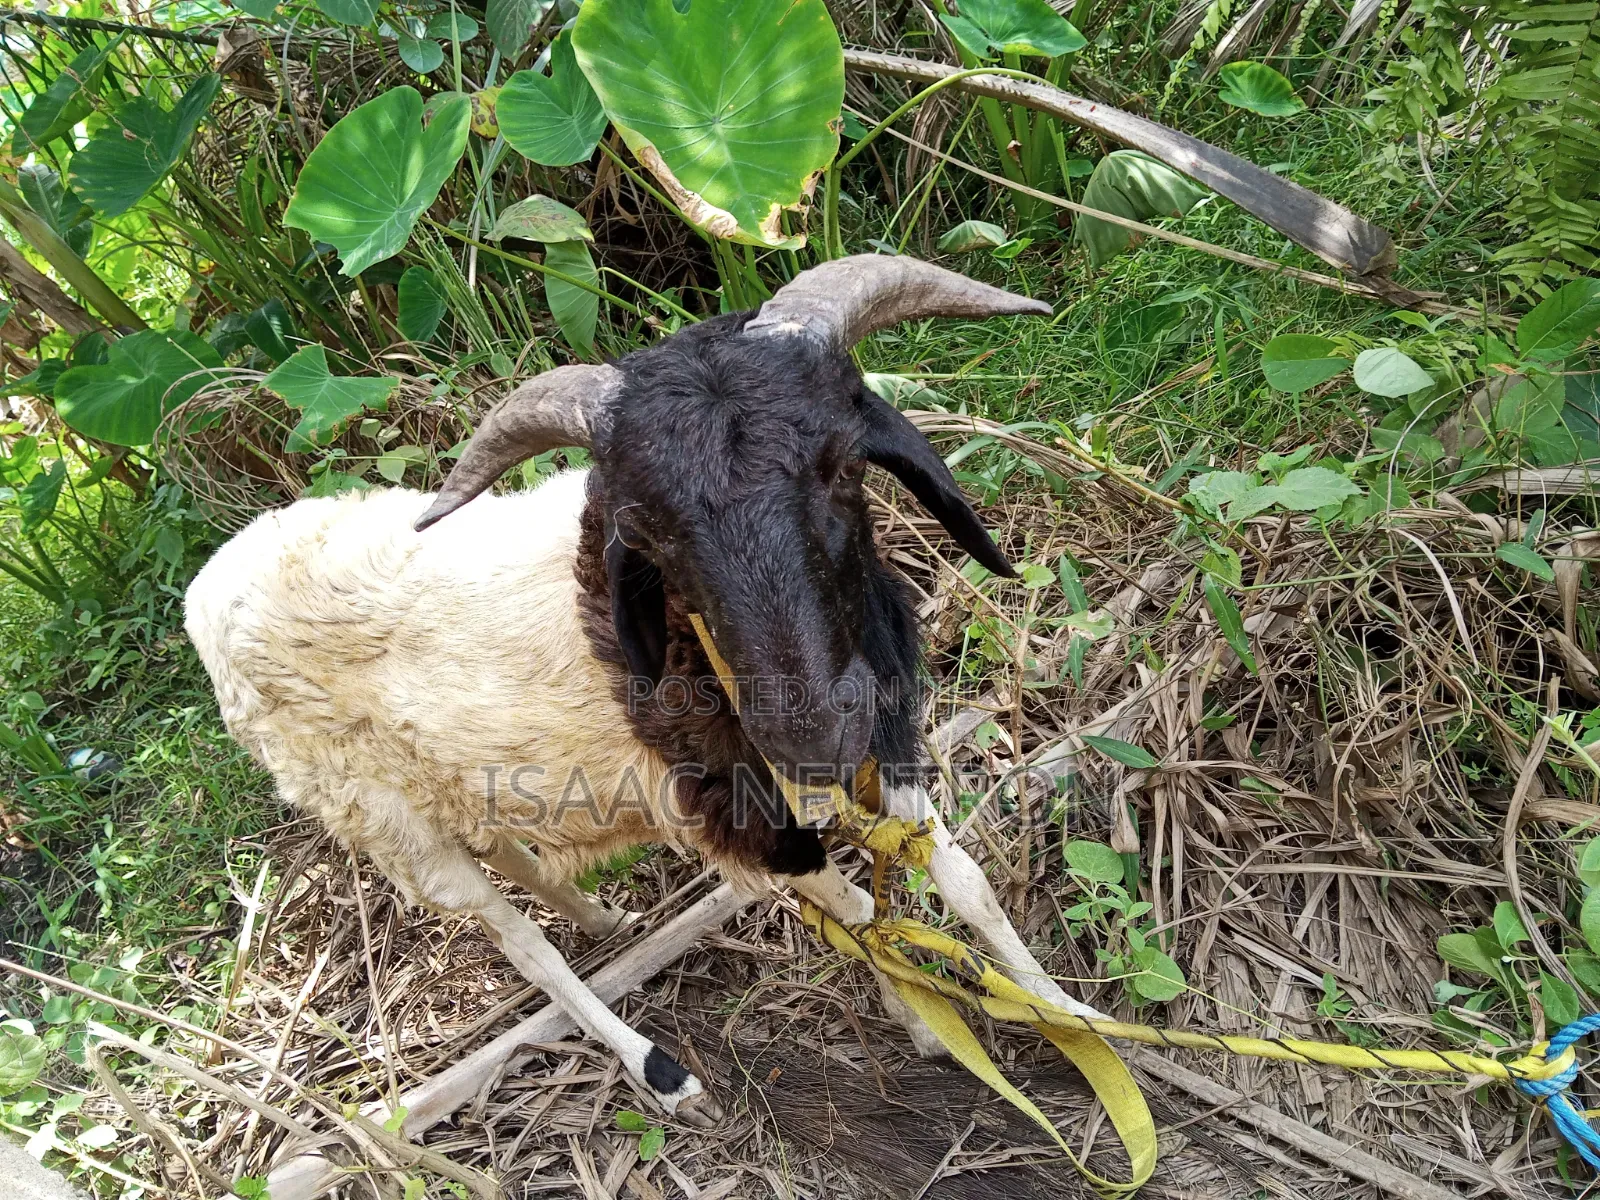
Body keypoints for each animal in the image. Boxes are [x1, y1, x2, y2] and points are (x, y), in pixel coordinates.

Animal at [186, 255, 1100, 1127]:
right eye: (652, 538)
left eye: (841, 468)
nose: (806, 734)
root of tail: (210, 581)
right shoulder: (740, 817)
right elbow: (858, 915)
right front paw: (923, 1021)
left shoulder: (885, 740)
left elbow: (965, 885)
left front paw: (1071, 1016)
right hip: (378, 819)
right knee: (522, 945)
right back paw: (658, 1068)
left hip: (448, 782)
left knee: (509, 853)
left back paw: (603, 920)